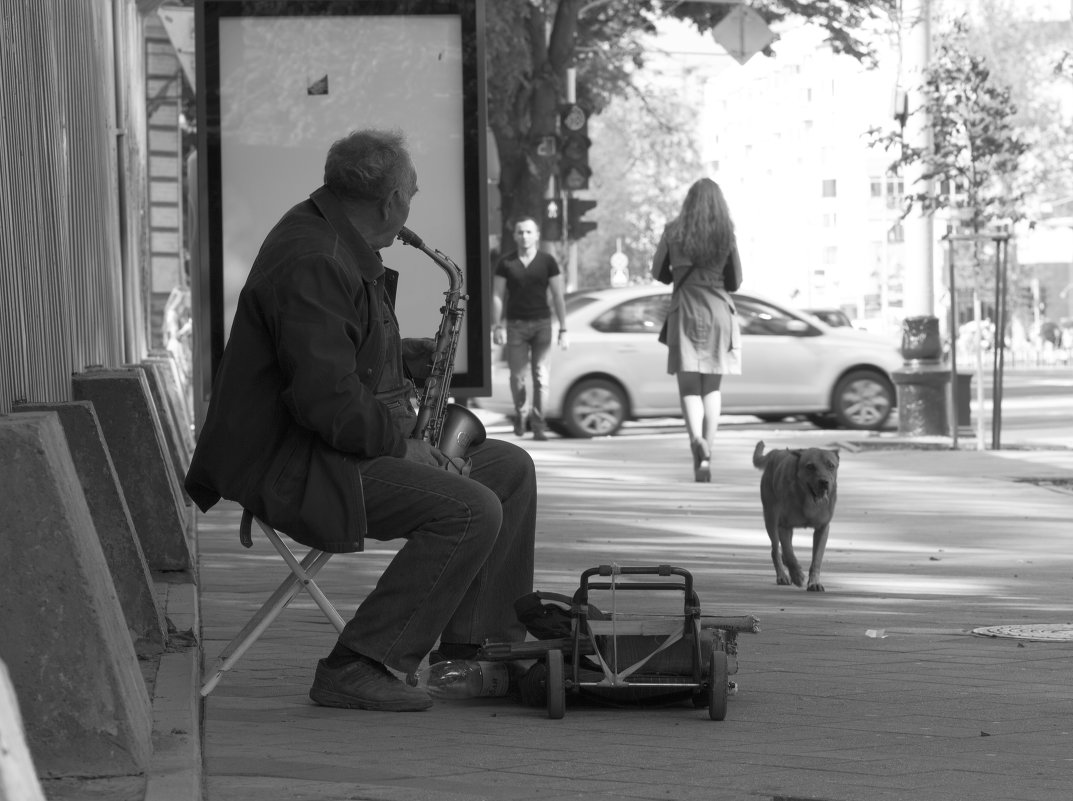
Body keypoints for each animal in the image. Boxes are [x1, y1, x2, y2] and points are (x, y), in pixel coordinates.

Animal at [755, 441, 836, 591]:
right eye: (810, 466)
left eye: (831, 466)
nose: (824, 482)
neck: (809, 501)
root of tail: (777, 451)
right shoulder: (783, 527)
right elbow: (789, 554)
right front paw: (797, 576)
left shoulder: (822, 528)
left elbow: (817, 558)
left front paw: (814, 582)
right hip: (770, 518)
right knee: (776, 550)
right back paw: (782, 575)